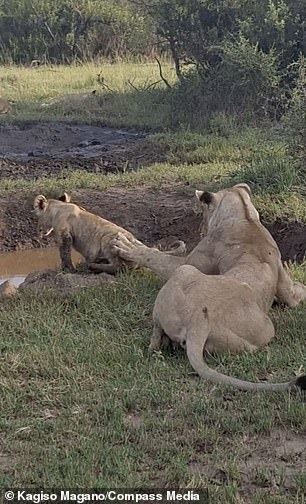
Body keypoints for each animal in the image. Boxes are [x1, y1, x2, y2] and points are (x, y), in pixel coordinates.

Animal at [113, 183, 306, 392]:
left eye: (204, 212)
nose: (200, 228)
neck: (245, 217)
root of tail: (198, 321)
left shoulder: (188, 261)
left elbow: (153, 256)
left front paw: (128, 246)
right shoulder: (284, 282)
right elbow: (295, 294)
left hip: (186, 270)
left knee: (155, 338)